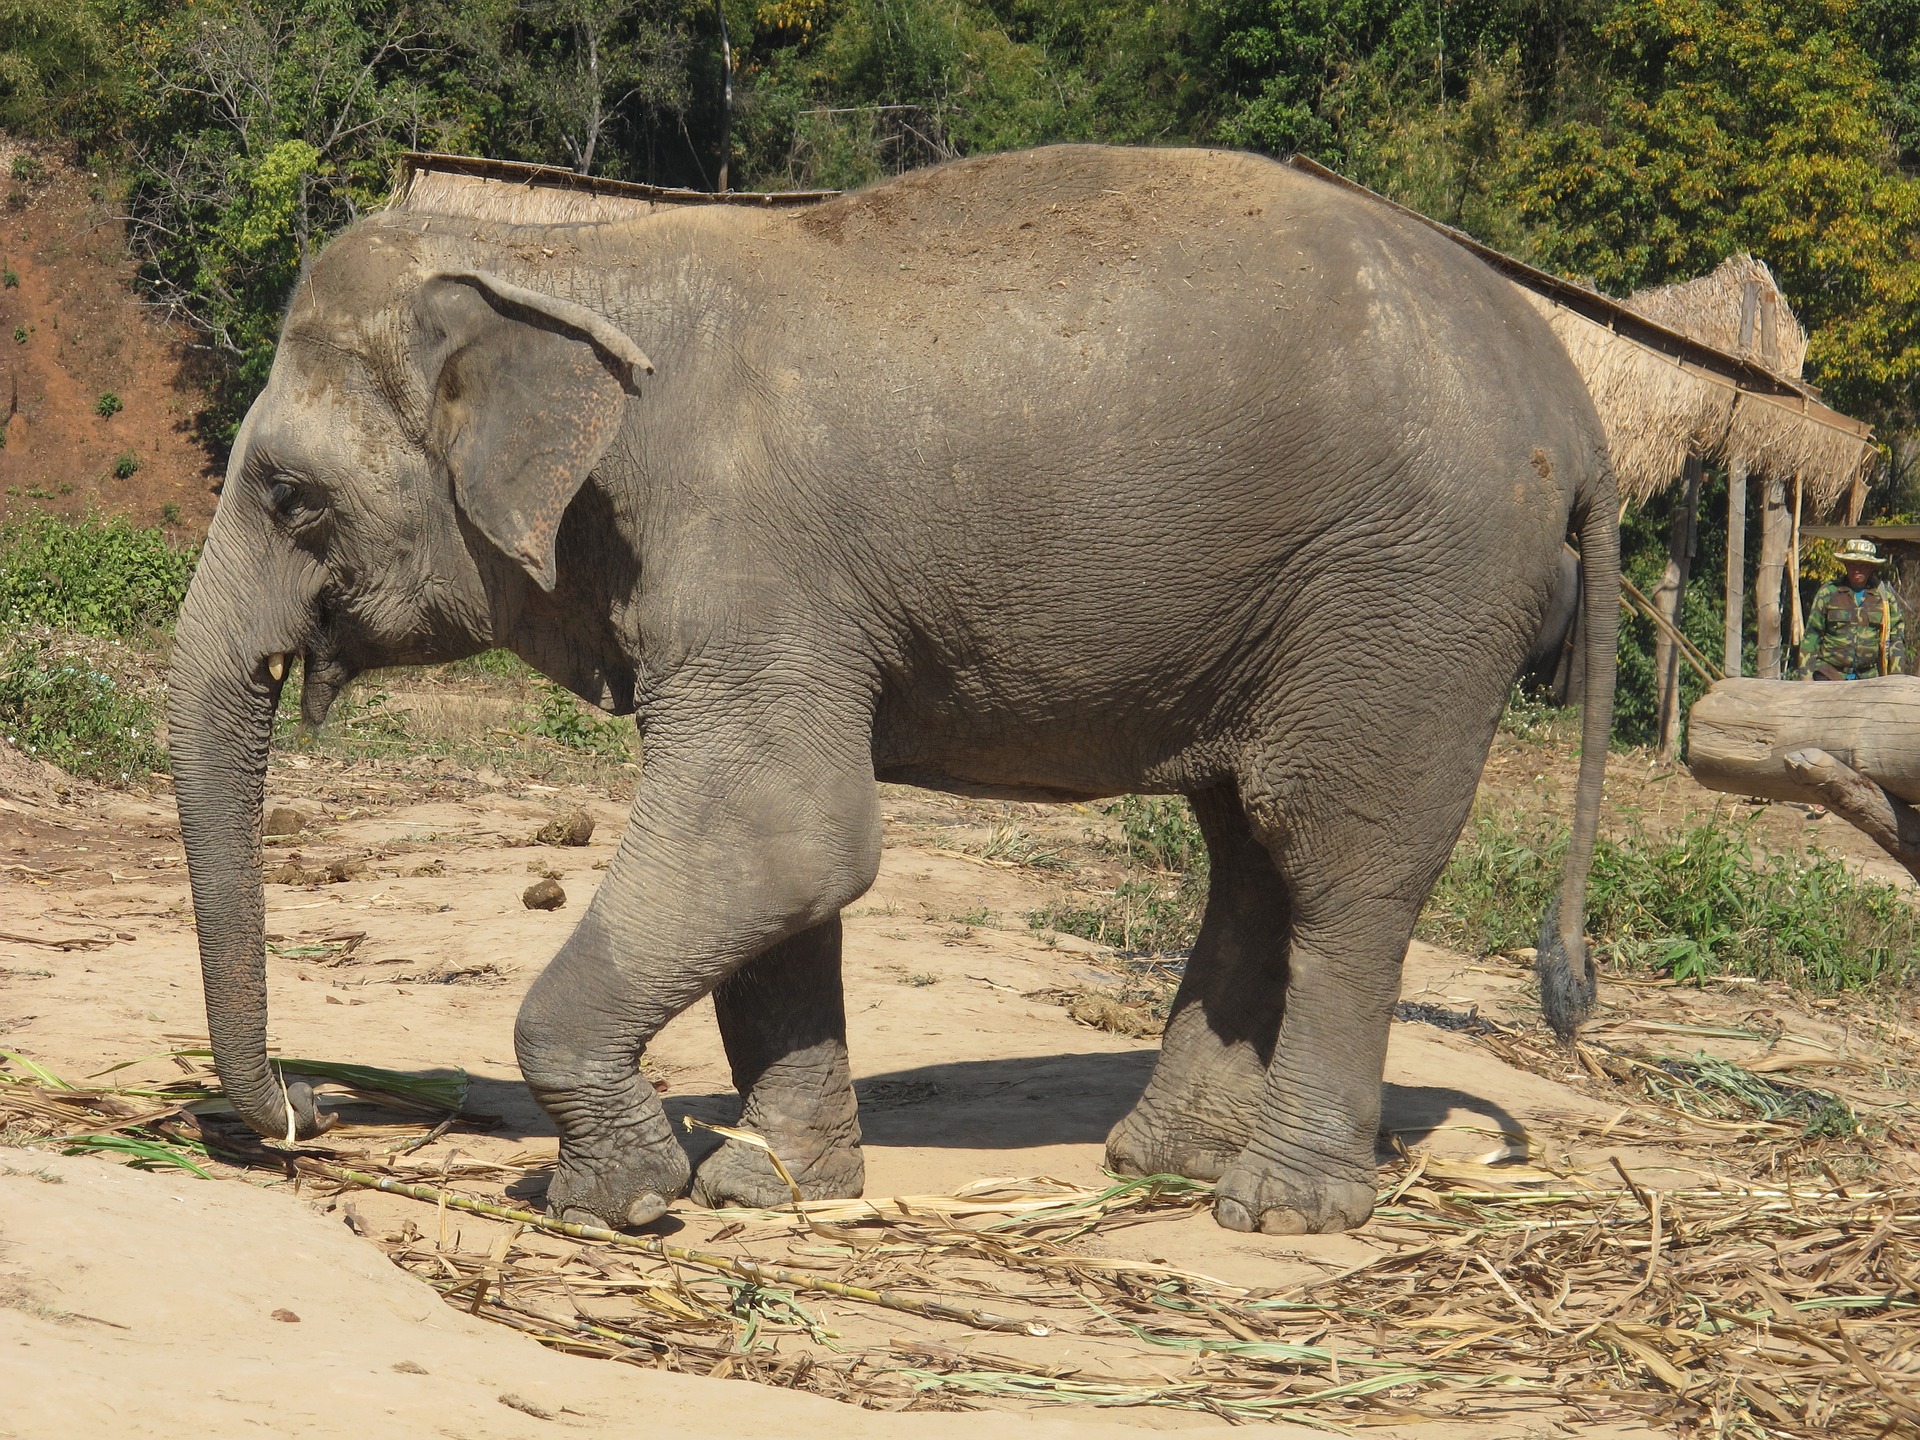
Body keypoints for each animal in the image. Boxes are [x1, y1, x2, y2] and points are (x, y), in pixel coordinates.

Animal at [168, 141, 1620, 1236]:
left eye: (289, 495)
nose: (311, 1108)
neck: (571, 262)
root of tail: (1582, 410)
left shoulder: (743, 558)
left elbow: (787, 830)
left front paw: (619, 1199)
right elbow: (784, 880)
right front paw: (769, 1187)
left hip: (1413, 600)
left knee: (1342, 863)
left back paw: (1274, 1209)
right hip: (1285, 604)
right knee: (1249, 849)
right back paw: (1158, 1164)